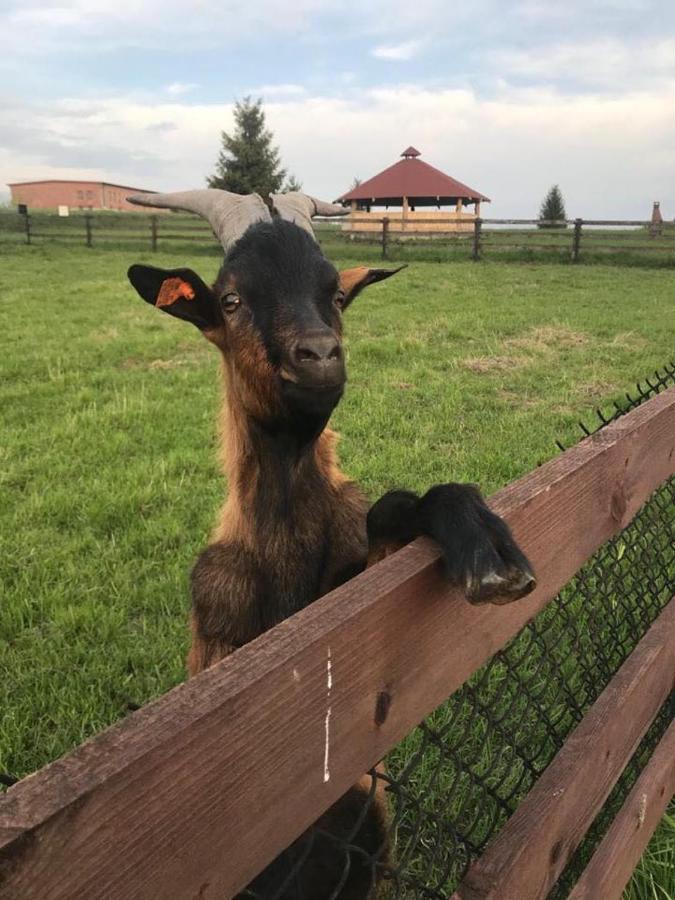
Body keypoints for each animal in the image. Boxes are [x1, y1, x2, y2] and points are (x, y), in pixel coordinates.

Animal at [127, 186, 536, 896]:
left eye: (335, 294)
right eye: (230, 299)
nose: (318, 355)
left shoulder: (353, 591)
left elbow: (395, 513)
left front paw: (486, 548)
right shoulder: (220, 651)